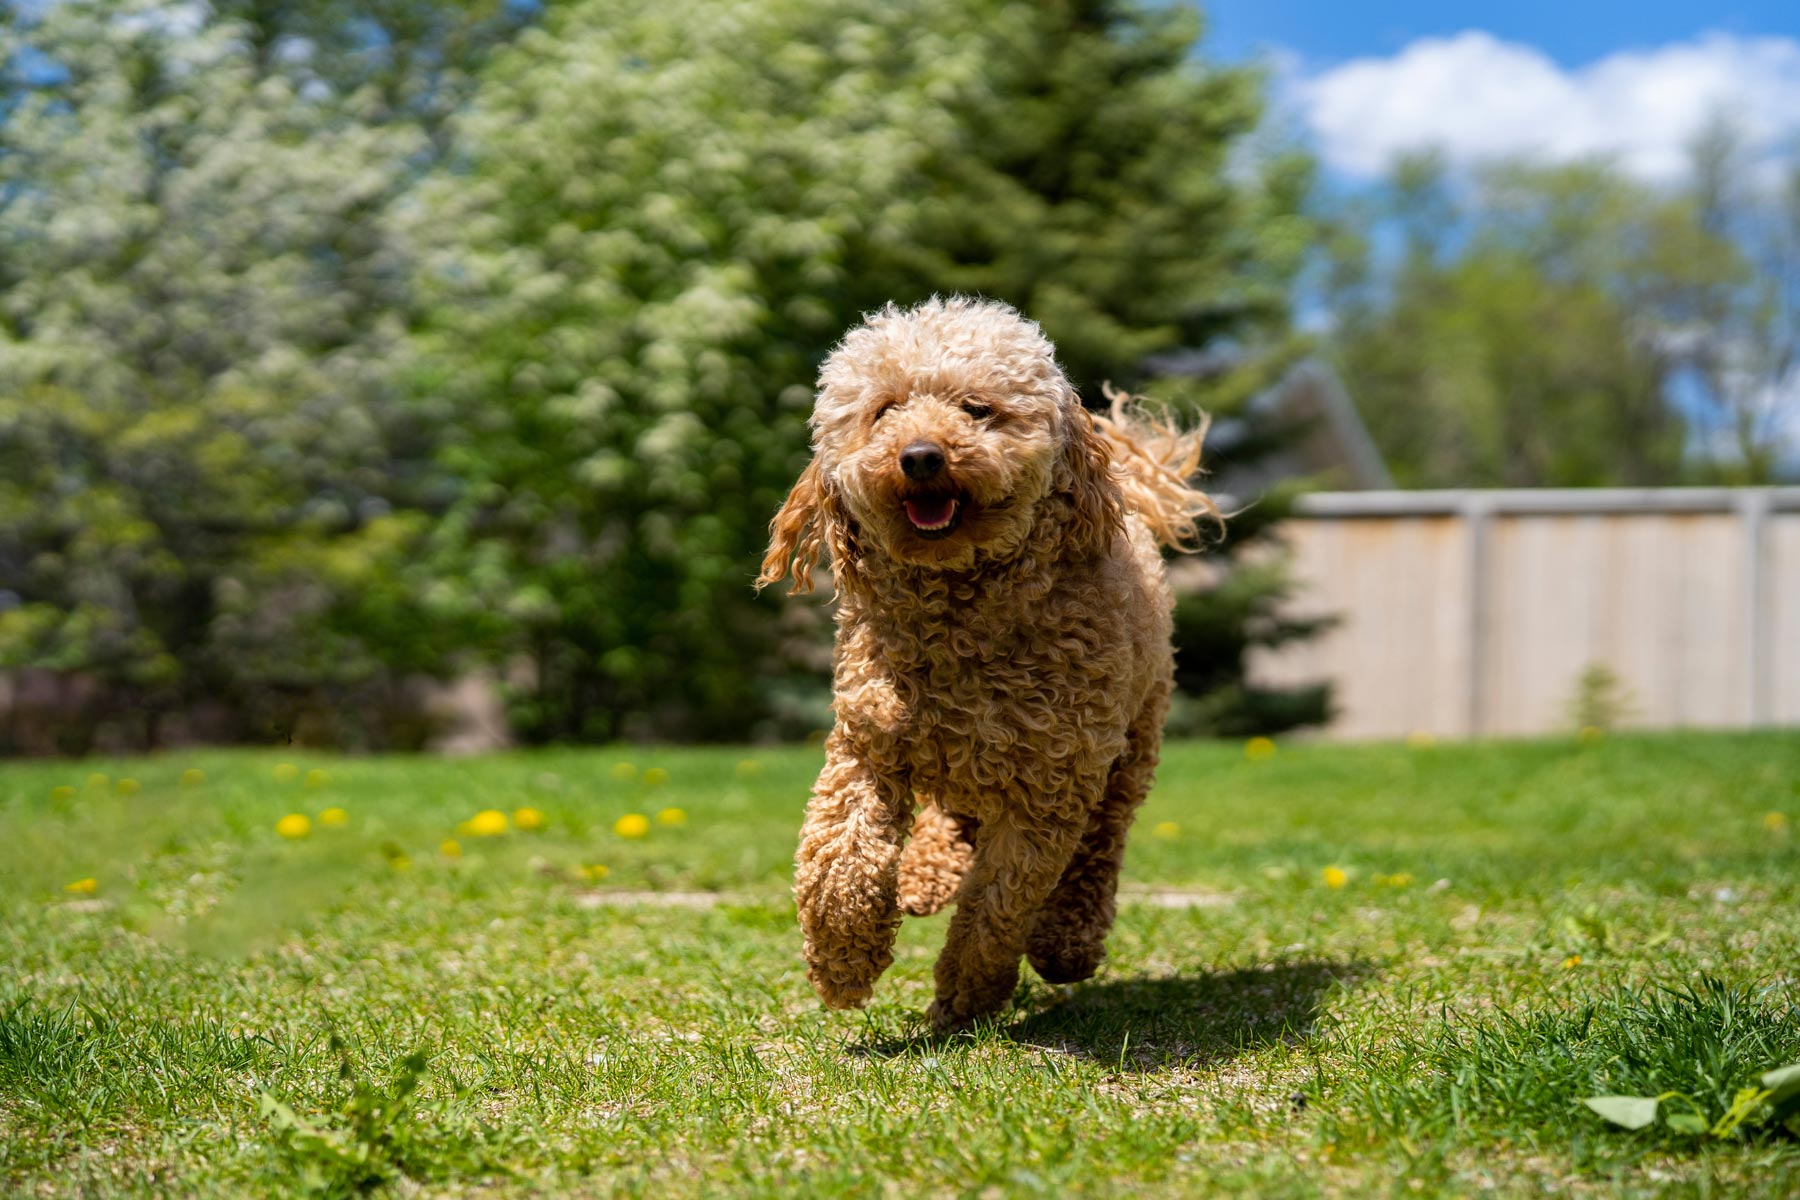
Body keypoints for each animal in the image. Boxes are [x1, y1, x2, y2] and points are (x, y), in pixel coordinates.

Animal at [752, 295, 1216, 1029]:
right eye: (885, 409)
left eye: (977, 408)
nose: (920, 456)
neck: (961, 620)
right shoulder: (868, 743)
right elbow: (840, 854)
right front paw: (841, 959)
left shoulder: (1047, 789)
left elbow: (998, 903)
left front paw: (968, 993)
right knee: (953, 816)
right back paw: (923, 874)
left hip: (1130, 747)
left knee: (1101, 844)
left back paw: (1066, 942)